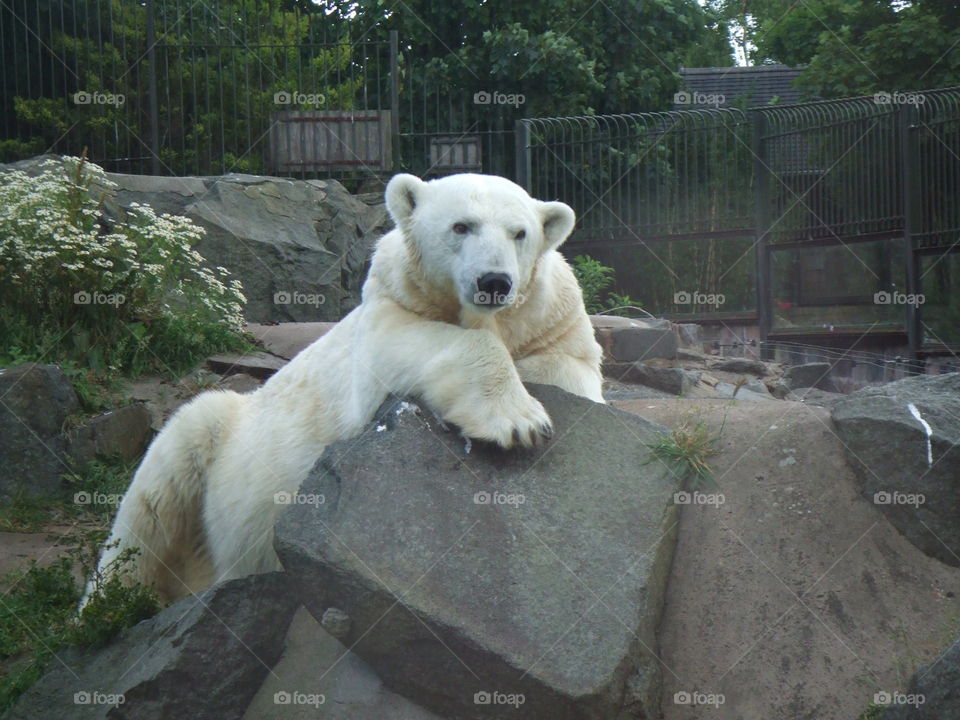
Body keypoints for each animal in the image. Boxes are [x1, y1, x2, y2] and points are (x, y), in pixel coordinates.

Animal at [86, 174, 604, 608]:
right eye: (461, 226)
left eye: (520, 233)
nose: (494, 282)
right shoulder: (387, 309)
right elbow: (415, 344)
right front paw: (519, 423)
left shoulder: (552, 320)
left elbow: (572, 369)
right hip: (211, 434)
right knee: (147, 510)